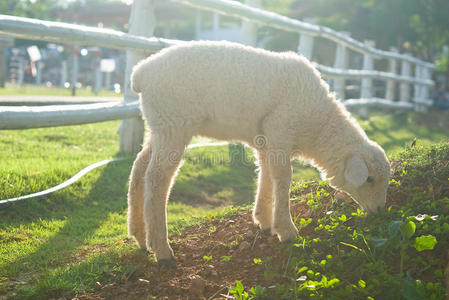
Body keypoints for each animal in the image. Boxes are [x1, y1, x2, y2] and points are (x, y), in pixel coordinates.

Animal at [126, 40, 388, 264]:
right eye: (369, 179)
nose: (379, 212)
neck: (319, 126)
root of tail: (141, 73)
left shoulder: (265, 140)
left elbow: (266, 174)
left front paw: (264, 220)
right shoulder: (280, 129)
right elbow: (283, 178)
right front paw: (286, 230)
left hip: (159, 126)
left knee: (139, 168)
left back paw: (139, 235)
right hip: (174, 123)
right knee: (157, 178)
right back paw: (161, 249)